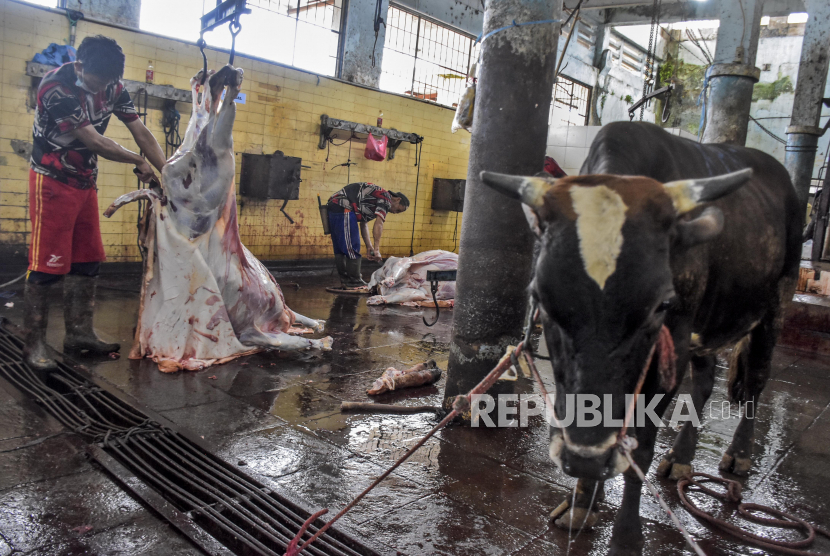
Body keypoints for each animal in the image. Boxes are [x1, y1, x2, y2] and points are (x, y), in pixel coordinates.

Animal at [484, 122, 804, 556]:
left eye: (661, 304)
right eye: (541, 298)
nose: (584, 458)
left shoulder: (672, 343)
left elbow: (644, 445)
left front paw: (625, 537)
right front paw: (582, 500)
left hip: (775, 304)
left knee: (755, 380)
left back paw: (738, 454)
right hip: (704, 328)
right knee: (706, 381)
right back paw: (682, 455)